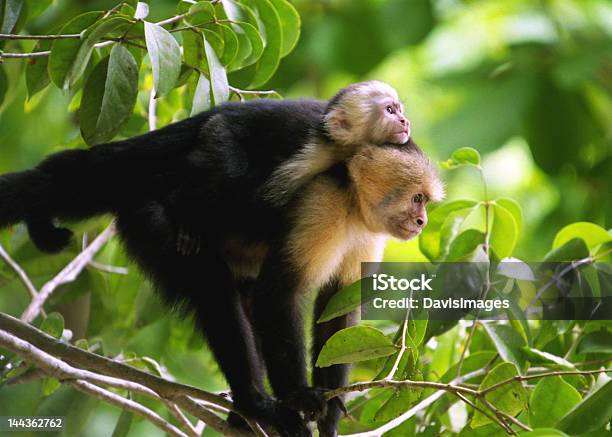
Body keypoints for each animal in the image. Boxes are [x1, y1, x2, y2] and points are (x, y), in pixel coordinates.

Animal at [0, 82, 440, 436]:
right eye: (417, 198)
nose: (421, 222)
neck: (351, 197)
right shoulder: (321, 201)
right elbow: (278, 296)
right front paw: (300, 398)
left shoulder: (368, 234)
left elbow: (337, 315)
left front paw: (330, 414)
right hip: (151, 212)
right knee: (214, 287)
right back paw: (253, 402)